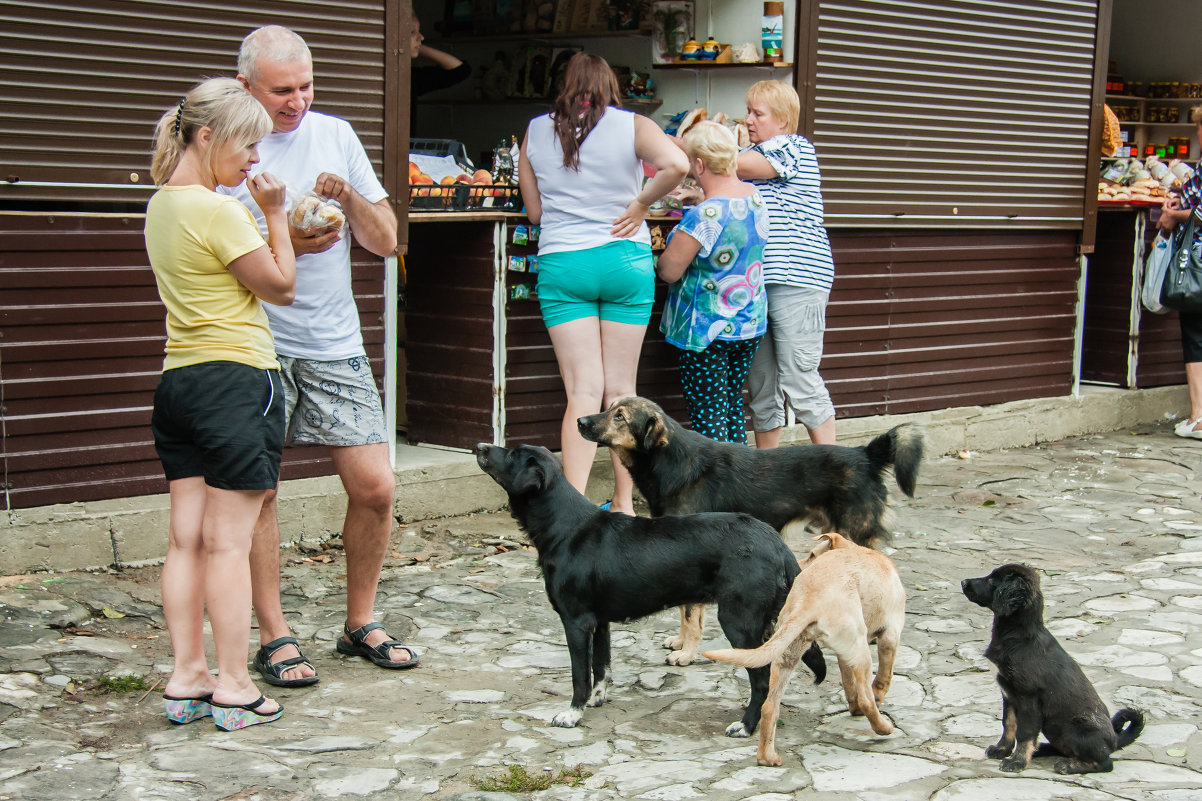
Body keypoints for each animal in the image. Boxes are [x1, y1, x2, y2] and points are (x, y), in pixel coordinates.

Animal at [475, 440, 798, 731]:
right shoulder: (599, 621)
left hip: (739, 621)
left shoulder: (576, 621)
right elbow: (601, 666)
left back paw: (746, 725)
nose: (479, 446)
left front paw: (572, 714)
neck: (565, 527)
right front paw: (597, 699)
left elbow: (580, 675)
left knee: (761, 679)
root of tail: (777, 545)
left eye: (512, 454)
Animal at [576, 396, 923, 663]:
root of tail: (866, 454)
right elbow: (686, 612)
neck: (673, 462)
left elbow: (691, 616)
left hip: (854, 537)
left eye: (619, 416)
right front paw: (680, 642)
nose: (579, 420)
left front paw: (686, 654)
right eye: (610, 407)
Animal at [701, 529, 903, 760]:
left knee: (769, 707)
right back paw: (883, 727)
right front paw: (877, 695)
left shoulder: (845, 654)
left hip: (787, 655)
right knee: (867, 701)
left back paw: (768, 758)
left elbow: (849, 686)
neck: (856, 549)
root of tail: (809, 600)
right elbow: (882, 679)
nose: (795, 568)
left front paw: (853, 707)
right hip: (860, 653)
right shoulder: (890, 634)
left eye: (812, 555)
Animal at [956, 560, 1144, 774]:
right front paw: (1002, 749)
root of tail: (1114, 741)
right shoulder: (1009, 695)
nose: (963, 582)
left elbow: (1025, 733)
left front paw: (1017, 761)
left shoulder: (1028, 698)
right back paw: (1042, 749)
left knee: (1105, 763)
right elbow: (1008, 724)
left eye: (992, 580)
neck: (1018, 637)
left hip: (1076, 728)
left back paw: (1069, 765)